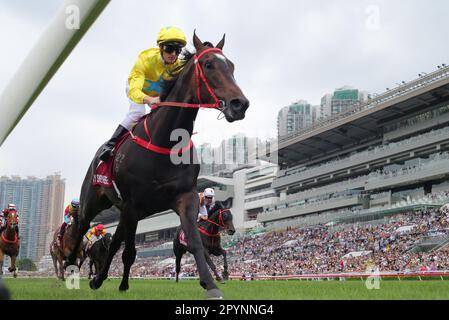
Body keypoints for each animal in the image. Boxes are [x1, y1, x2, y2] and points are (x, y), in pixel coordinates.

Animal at [65, 31, 250, 298]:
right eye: (208, 65)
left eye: (232, 66)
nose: (240, 104)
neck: (166, 143)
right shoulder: (132, 203)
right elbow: (128, 251)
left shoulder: (184, 197)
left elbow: (194, 241)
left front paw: (211, 284)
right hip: (94, 201)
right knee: (82, 227)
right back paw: (70, 270)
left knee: (116, 243)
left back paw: (103, 280)